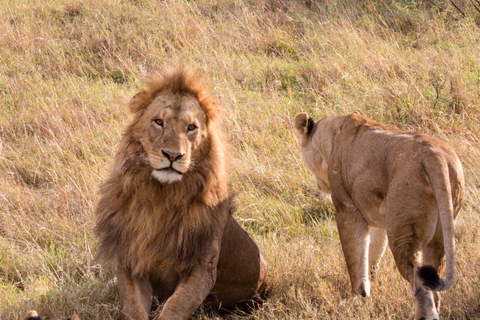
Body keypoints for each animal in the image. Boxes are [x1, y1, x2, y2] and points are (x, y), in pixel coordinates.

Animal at [94, 66, 266, 318]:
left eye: (191, 128)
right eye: (159, 122)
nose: (173, 155)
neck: (162, 197)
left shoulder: (202, 267)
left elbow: (175, 306)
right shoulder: (131, 263)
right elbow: (134, 308)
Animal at [294, 113, 464, 320]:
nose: (318, 185)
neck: (332, 137)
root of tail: (434, 154)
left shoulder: (347, 211)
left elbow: (355, 259)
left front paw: (355, 298)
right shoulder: (379, 220)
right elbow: (372, 256)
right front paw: (367, 293)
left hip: (403, 236)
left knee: (420, 287)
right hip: (439, 235)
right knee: (434, 286)